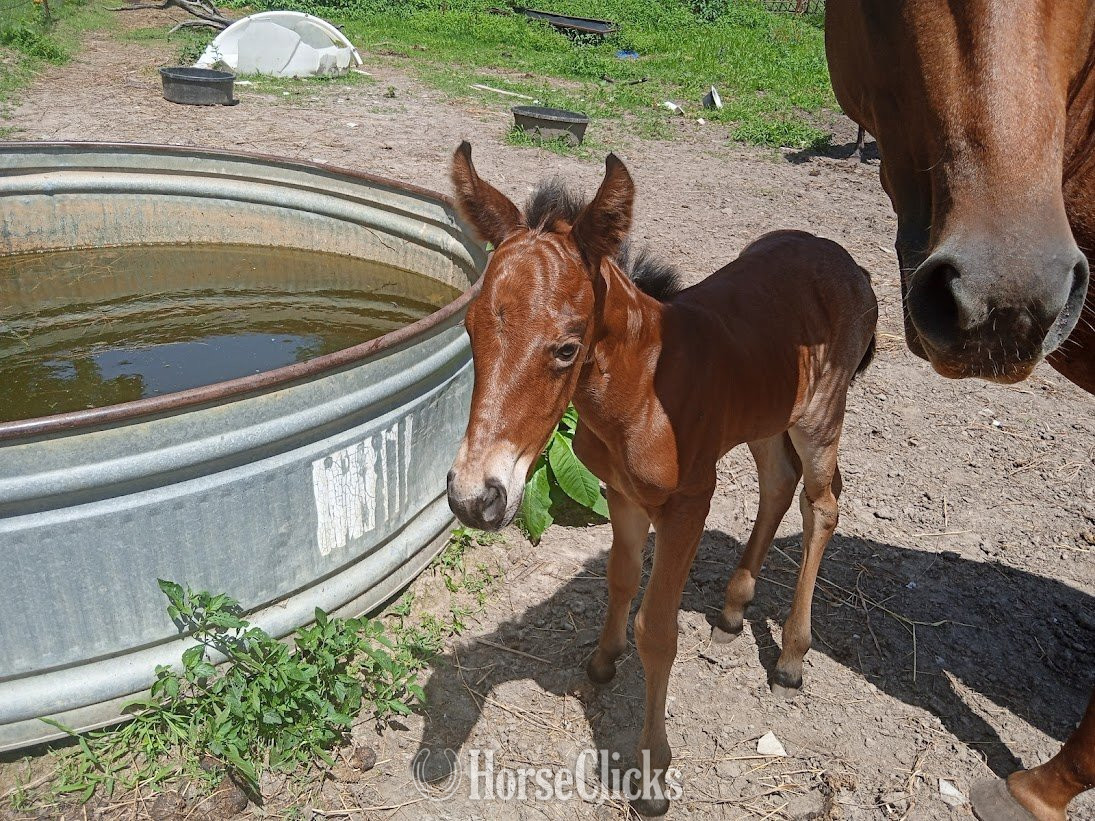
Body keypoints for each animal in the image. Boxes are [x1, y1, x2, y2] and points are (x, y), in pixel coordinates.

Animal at [444, 141, 877, 815]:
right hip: (765, 413)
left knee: (822, 502)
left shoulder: (688, 503)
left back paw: (791, 657)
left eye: (566, 348)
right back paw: (732, 609)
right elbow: (621, 578)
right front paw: (602, 660)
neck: (641, 388)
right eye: (470, 329)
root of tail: (849, 264)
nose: (473, 498)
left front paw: (651, 774)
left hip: (819, 417)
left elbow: (658, 630)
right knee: (777, 483)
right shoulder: (620, 493)